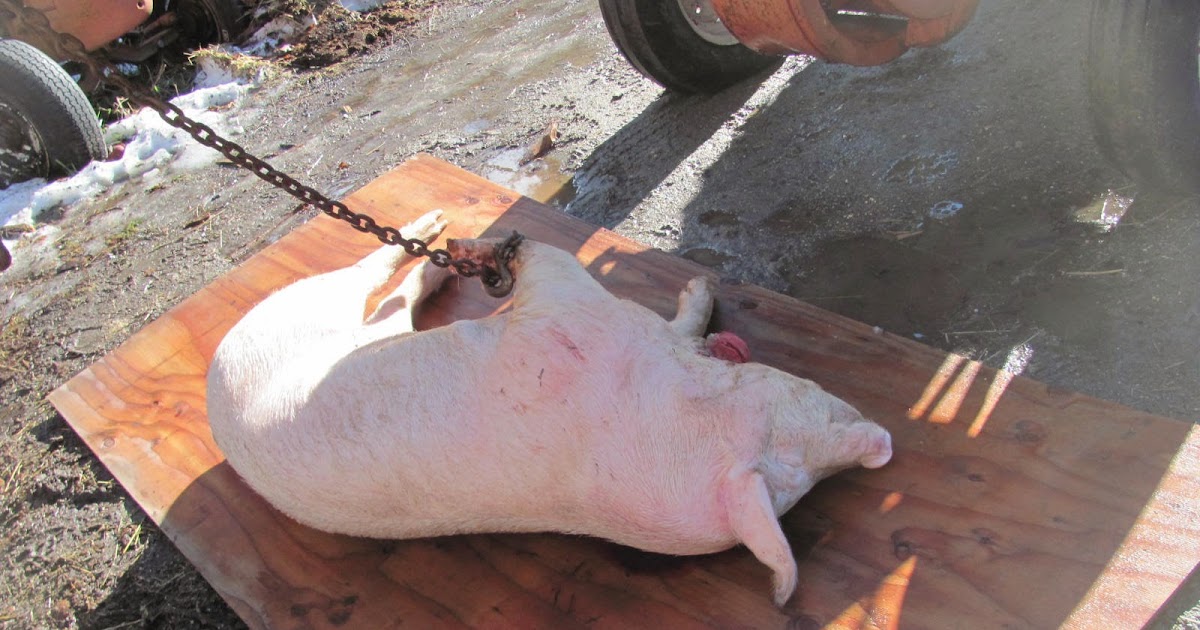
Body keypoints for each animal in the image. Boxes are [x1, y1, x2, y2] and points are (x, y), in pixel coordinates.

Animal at [206, 210, 892, 606]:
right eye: (816, 408)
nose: (884, 445)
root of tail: (213, 385)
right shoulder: (572, 309)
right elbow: (538, 253)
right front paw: (702, 287)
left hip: (349, 323)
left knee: (389, 293)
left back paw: (434, 243)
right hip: (296, 315)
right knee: (363, 275)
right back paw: (436, 229)